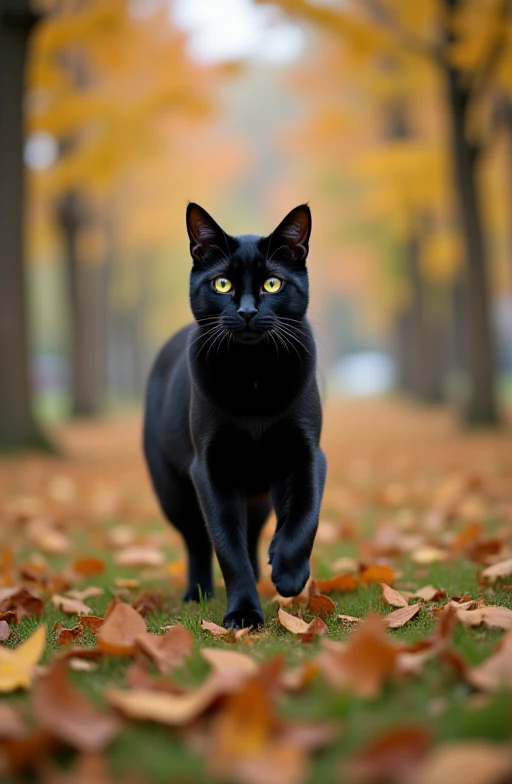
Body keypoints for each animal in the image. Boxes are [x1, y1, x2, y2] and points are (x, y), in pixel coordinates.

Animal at [143, 204, 328, 632]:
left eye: (273, 284)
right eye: (222, 283)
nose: (246, 311)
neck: (253, 376)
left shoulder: (308, 454)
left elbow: (305, 515)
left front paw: (289, 573)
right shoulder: (209, 470)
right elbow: (227, 547)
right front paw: (243, 614)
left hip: (257, 496)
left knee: (256, 531)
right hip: (173, 492)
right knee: (197, 541)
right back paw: (196, 594)